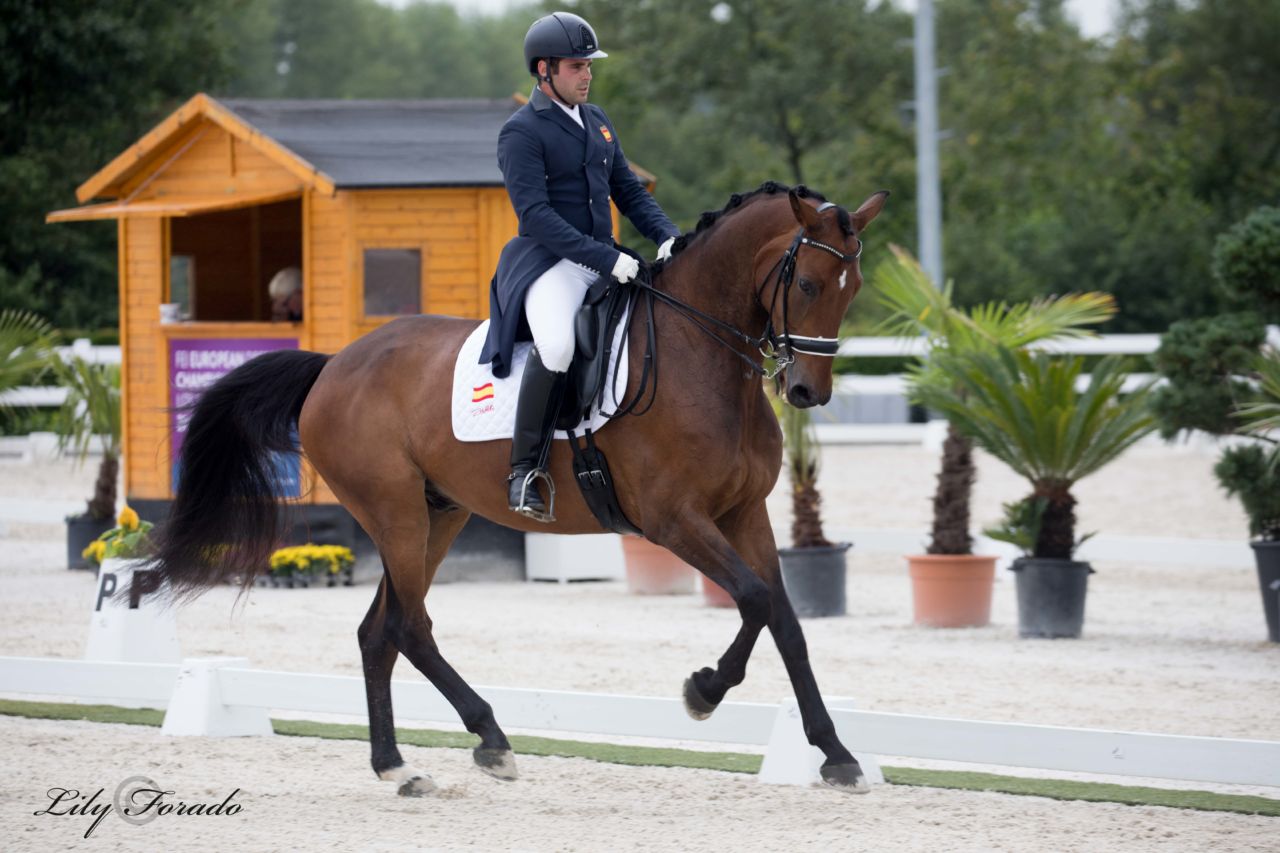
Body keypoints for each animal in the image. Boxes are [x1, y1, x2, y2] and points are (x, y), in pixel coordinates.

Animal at [149, 180, 885, 799]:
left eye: (853, 289)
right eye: (809, 282)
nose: (806, 393)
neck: (697, 353)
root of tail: (334, 364)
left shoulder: (744, 513)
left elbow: (785, 620)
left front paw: (836, 753)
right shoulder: (674, 519)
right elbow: (756, 599)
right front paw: (703, 691)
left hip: (437, 513)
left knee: (378, 631)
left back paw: (396, 765)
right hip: (394, 513)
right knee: (409, 626)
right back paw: (490, 739)